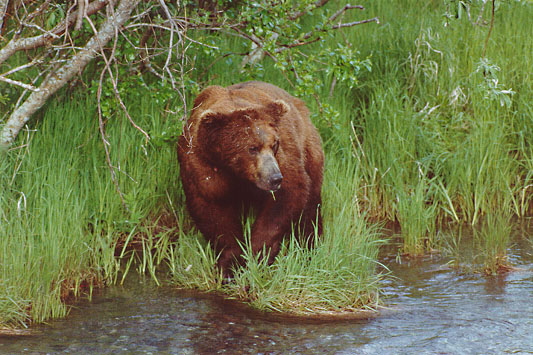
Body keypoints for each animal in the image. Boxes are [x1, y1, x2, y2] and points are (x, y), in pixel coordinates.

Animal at [177, 82, 322, 276]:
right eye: (252, 148)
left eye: (274, 144)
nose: (275, 178)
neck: (236, 172)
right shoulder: (202, 161)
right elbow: (213, 209)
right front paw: (229, 263)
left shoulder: (284, 158)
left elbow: (286, 197)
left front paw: (256, 254)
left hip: (308, 148)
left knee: (311, 207)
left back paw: (310, 248)